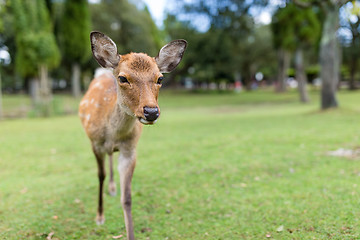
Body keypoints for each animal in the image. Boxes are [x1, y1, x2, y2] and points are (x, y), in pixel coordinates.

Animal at [78, 31, 186, 240]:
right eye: (123, 78)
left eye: (160, 79)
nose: (151, 112)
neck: (113, 134)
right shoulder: (95, 144)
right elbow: (100, 175)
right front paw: (99, 217)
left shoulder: (130, 150)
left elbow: (127, 198)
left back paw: (113, 188)